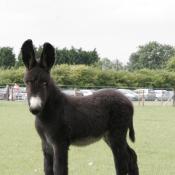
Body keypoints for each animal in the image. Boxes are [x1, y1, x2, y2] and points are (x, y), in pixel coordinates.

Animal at [21, 39, 139, 175]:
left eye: (45, 83)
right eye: (27, 82)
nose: (35, 108)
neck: (49, 112)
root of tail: (128, 100)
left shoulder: (60, 143)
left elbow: (59, 169)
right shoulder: (46, 144)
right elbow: (47, 169)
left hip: (117, 134)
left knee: (122, 163)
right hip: (108, 135)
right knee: (131, 156)